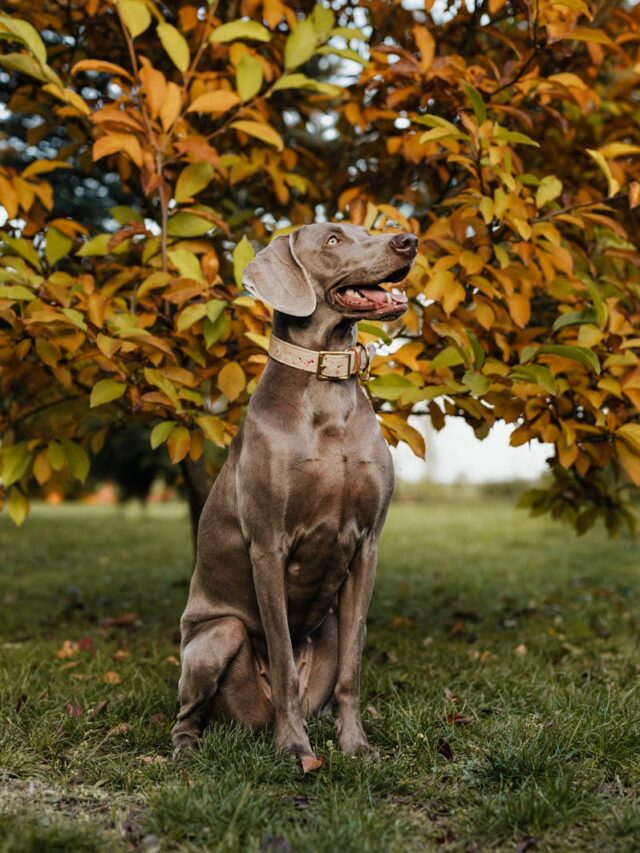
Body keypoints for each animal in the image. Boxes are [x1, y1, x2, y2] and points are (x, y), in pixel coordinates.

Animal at [172, 221, 418, 764]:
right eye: (332, 240)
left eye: (365, 229)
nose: (408, 240)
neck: (325, 385)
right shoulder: (268, 547)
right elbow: (284, 660)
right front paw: (293, 747)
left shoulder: (367, 544)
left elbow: (353, 668)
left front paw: (355, 745)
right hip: (215, 636)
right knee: (189, 711)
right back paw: (189, 749)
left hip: (327, 629)